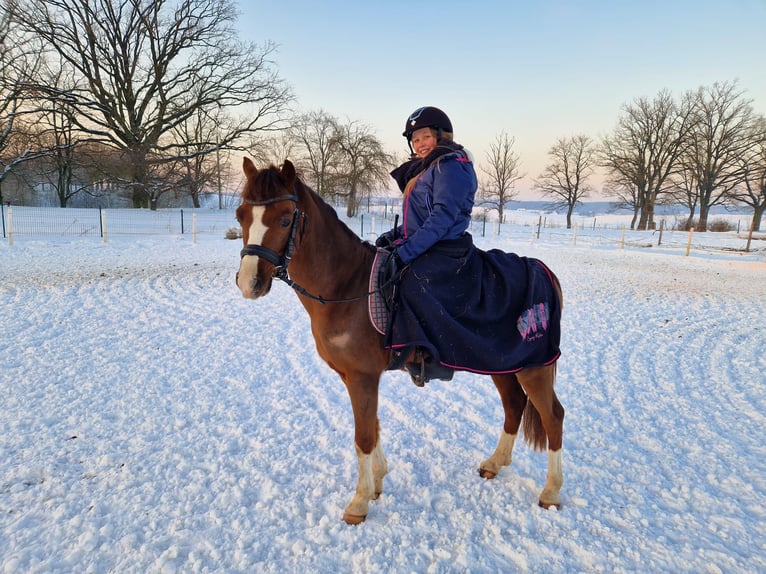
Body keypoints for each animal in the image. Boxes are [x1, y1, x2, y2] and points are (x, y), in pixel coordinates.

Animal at [235, 158, 565, 525]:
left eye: (284, 218)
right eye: (240, 216)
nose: (249, 283)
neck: (346, 287)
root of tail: (542, 270)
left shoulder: (363, 377)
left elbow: (364, 435)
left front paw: (359, 502)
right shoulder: (354, 377)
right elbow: (373, 428)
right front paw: (377, 481)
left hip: (533, 368)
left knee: (553, 417)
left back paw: (550, 492)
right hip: (502, 364)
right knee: (514, 406)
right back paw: (494, 464)